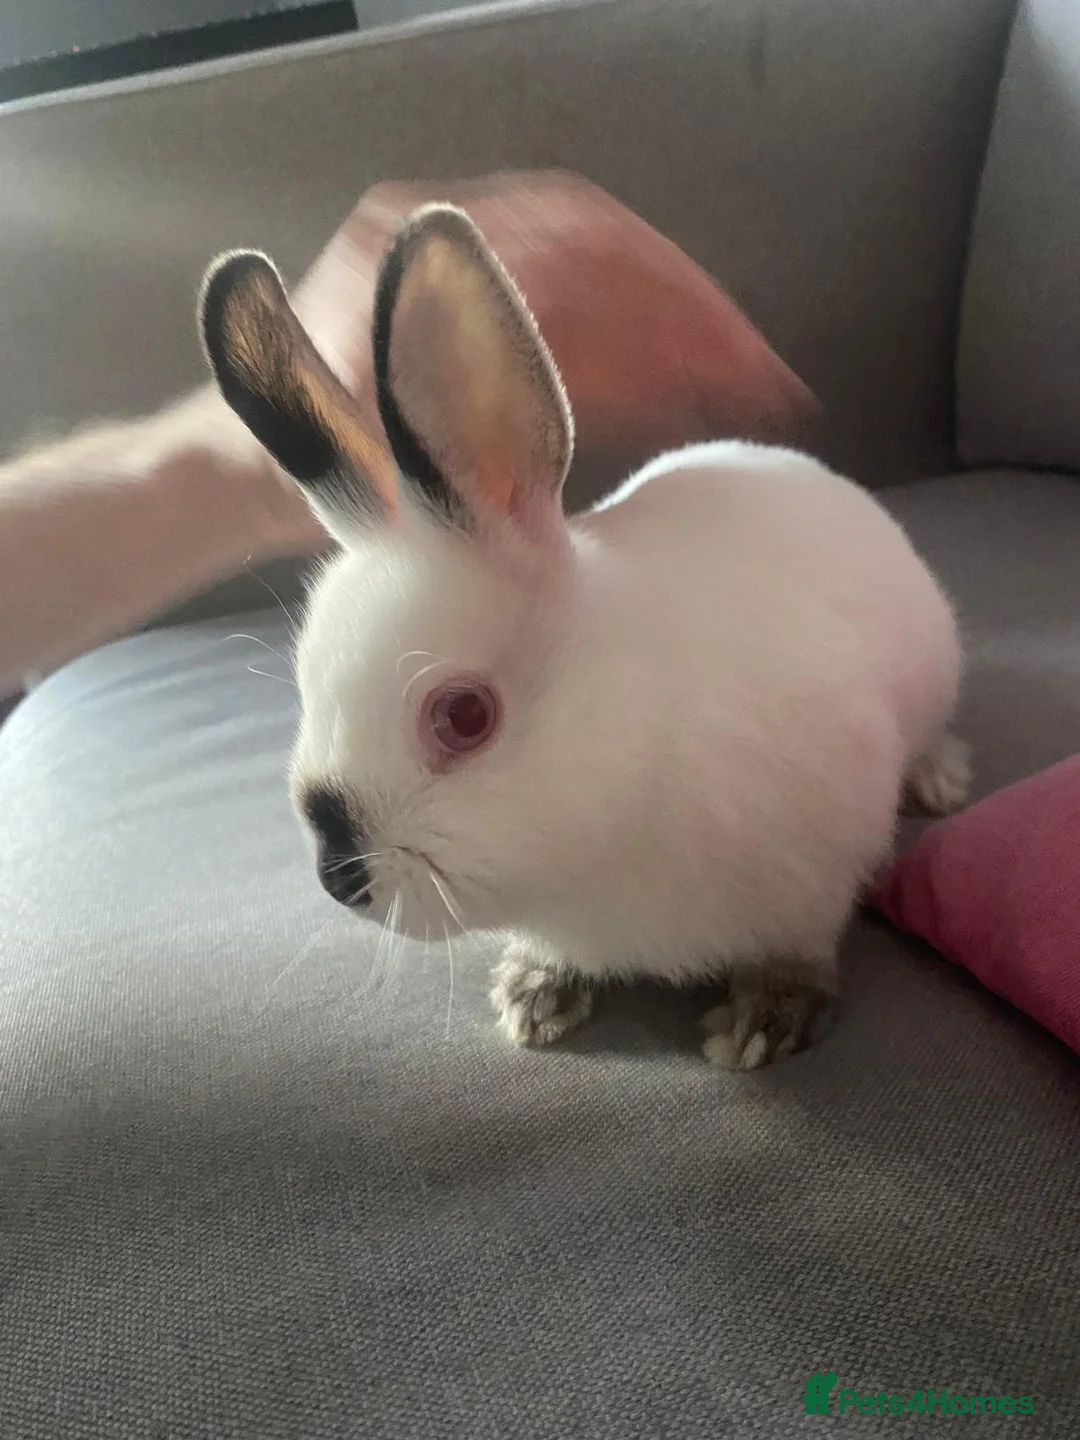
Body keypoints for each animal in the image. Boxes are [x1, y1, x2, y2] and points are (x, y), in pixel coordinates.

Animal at [198, 203, 970, 1070]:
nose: (339, 880)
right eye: (305, 690)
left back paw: (941, 778)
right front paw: (533, 993)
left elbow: (798, 949)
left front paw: (763, 1021)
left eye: (464, 716)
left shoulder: (817, 874)